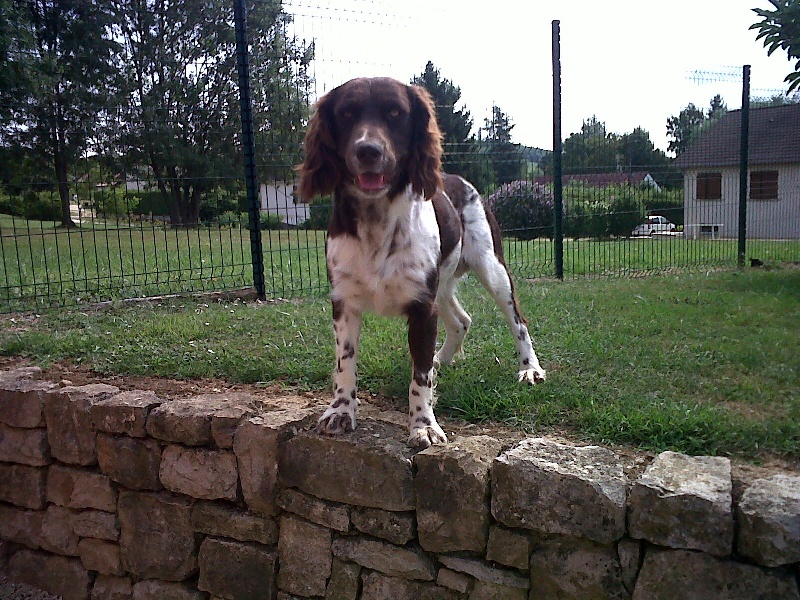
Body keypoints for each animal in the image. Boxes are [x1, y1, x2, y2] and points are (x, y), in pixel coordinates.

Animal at [296, 77, 548, 448]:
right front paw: (341, 410)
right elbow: (346, 363)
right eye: (347, 113)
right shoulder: (345, 301)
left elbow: (420, 378)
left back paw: (529, 368)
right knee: (461, 321)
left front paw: (424, 425)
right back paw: (442, 359)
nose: (368, 150)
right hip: (441, 285)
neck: (377, 220)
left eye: (395, 113)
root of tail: (459, 179)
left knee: (517, 320)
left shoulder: (422, 307)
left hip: (493, 269)